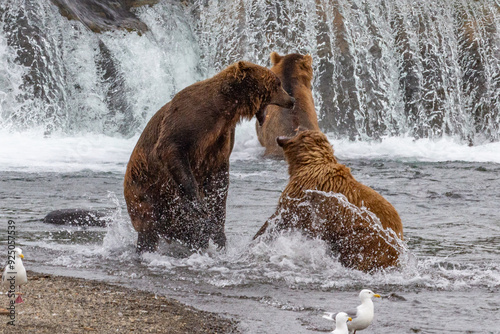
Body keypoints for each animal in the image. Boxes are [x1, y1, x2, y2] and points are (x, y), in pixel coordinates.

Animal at [125, 61, 294, 252]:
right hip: (144, 191)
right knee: (149, 225)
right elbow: (171, 149)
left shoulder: (220, 140)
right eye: (277, 83)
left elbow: (219, 182)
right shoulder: (188, 118)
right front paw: (199, 205)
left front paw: (217, 230)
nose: (292, 101)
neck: (225, 109)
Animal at [256, 130, 404, 272]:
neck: (307, 162)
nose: (279, 138)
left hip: (366, 237)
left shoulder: (303, 192)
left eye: (298, 131)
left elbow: (283, 216)